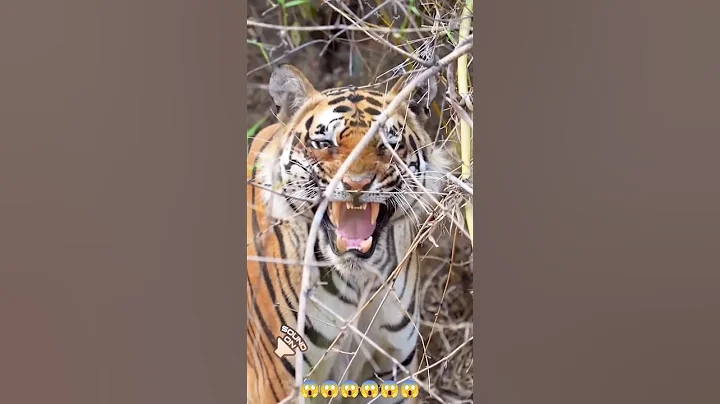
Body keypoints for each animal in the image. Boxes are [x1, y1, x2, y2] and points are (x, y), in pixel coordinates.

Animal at [247, 64, 452, 403]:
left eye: (388, 145)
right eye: (325, 144)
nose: (356, 184)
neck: (360, 278)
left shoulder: (393, 372)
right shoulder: (279, 382)